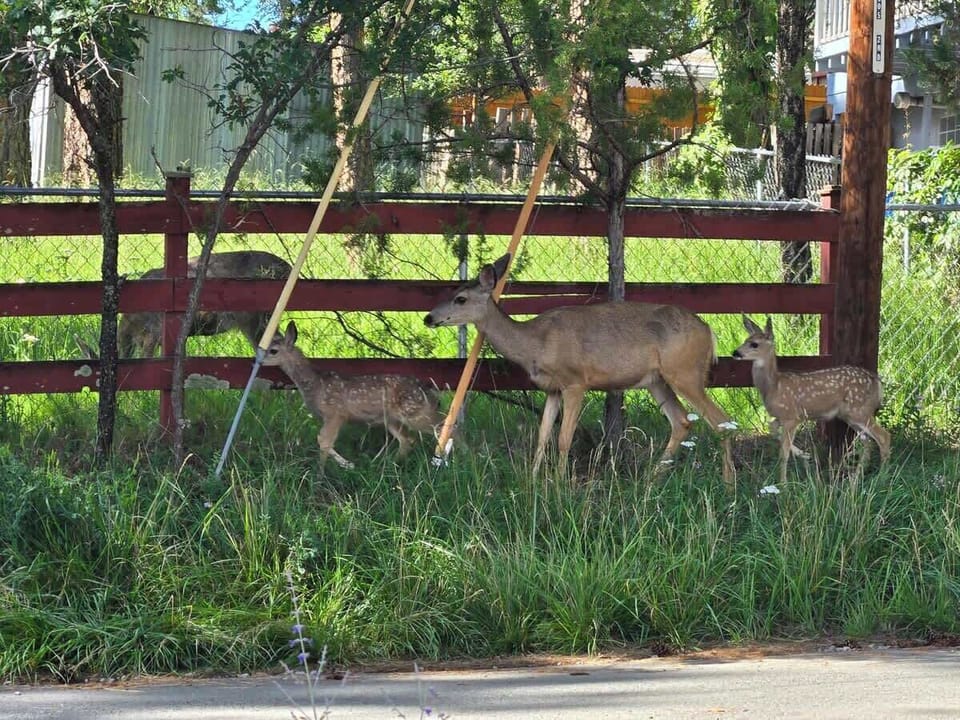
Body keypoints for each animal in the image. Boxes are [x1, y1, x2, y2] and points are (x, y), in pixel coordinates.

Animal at [263, 321, 442, 469]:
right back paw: (389, 464)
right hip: (392, 418)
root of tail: (428, 392)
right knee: (407, 440)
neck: (316, 385)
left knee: (441, 428)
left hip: (416, 413)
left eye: (273, 351)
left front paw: (323, 470)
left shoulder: (335, 413)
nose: (258, 360)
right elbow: (323, 440)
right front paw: (346, 465)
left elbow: (323, 440)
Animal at [423, 253, 737, 486]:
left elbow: (564, 439)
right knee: (682, 421)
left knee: (722, 420)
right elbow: (542, 436)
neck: (535, 343)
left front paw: (560, 485)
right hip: (656, 380)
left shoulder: (576, 382)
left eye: (460, 298)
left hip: (685, 372)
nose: (428, 317)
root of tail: (708, 331)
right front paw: (533, 479)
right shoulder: (552, 389)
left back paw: (728, 482)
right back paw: (652, 479)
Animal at [732, 315, 891, 483]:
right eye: (745, 340)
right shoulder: (782, 417)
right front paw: (804, 454)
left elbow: (783, 453)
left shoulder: (791, 417)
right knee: (867, 442)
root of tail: (877, 382)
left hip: (860, 410)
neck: (774, 387)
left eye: (754, 344)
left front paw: (783, 484)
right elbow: (772, 428)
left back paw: (881, 476)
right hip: (850, 415)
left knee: (883, 437)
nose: (735, 352)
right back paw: (855, 477)